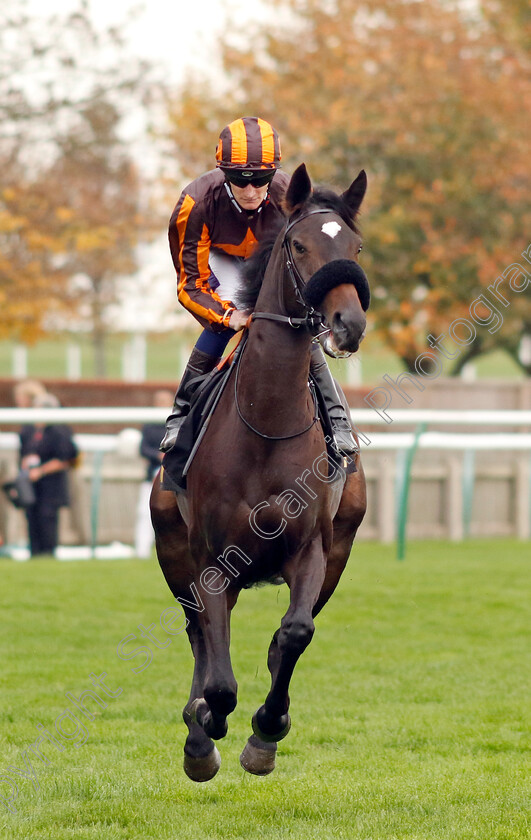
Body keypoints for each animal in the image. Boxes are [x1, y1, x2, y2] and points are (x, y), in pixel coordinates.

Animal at [152, 164, 370, 780]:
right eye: (299, 245)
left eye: (355, 246)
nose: (348, 323)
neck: (267, 424)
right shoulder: (209, 559)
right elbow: (219, 675)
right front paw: (206, 728)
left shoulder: (314, 548)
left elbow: (293, 634)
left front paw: (266, 732)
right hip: (172, 551)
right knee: (199, 634)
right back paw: (198, 728)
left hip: (340, 552)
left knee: (282, 638)